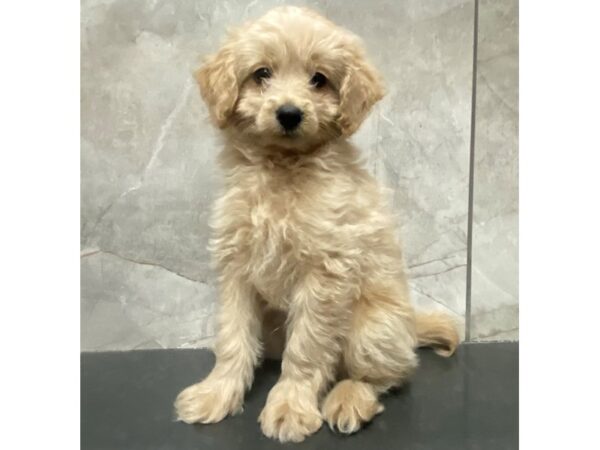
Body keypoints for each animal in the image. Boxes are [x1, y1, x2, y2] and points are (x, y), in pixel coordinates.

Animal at [173, 6, 460, 442]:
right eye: (262, 73)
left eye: (319, 79)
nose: (290, 114)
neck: (282, 168)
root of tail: (411, 325)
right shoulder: (236, 270)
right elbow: (233, 339)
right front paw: (216, 395)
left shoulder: (324, 271)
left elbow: (306, 348)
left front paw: (290, 408)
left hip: (372, 328)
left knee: (382, 376)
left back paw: (348, 400)